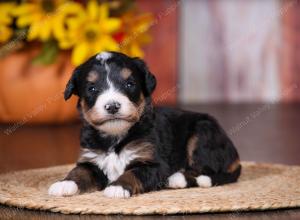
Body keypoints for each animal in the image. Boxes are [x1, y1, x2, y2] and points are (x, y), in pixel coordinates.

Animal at [48, 51, 241, 198]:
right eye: (92, 88)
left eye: (129, 84)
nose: (112, 106)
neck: (115, 136)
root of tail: (235, 157)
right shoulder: (92, 159)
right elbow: (79, 172)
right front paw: (64, 184)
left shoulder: (154, 163)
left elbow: (134, 173)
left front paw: (117, 187)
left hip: (203, 132)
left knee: (204, 169)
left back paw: (177, 178)